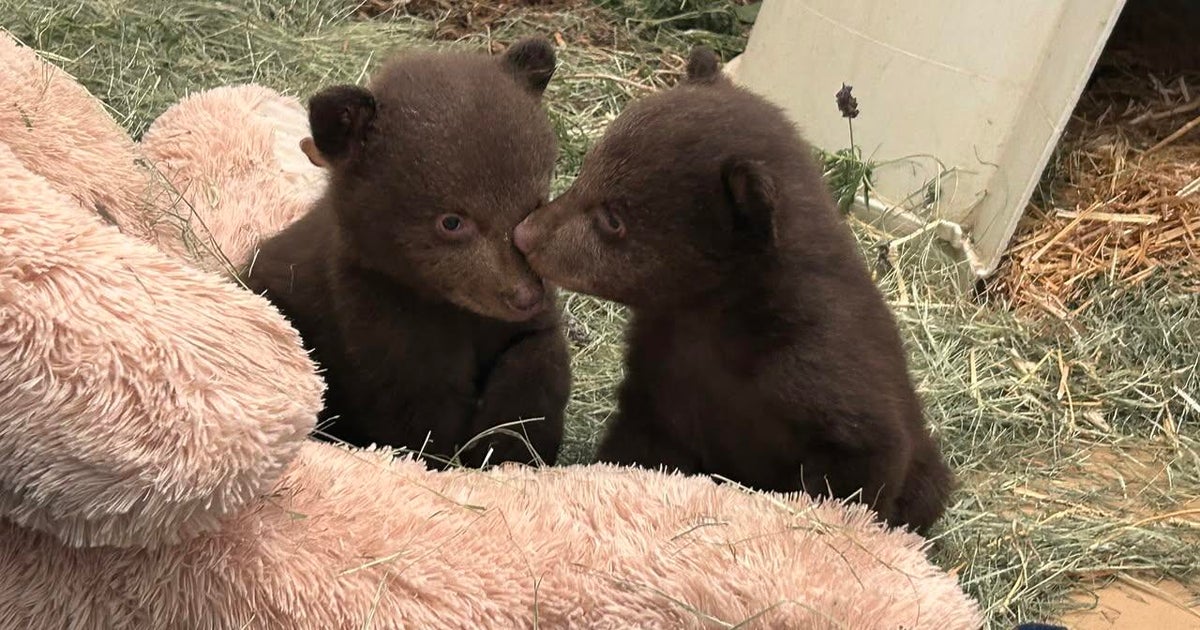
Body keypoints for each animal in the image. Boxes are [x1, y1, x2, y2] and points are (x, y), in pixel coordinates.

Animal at [242, 38, 571, 469]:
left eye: (534, 204)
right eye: (452, 221)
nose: (525, 295)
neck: (450, 309)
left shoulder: (519, 326)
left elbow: (535, 359)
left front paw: (509, 447)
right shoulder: (381, 322)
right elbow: (419, 415)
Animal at [512, 46, 953, 533]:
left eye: (613, 219)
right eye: (586, 171)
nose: (524, 235)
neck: (714, 315)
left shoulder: (825, 370)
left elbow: (861, 462)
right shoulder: (660, 377)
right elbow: (639, 443)